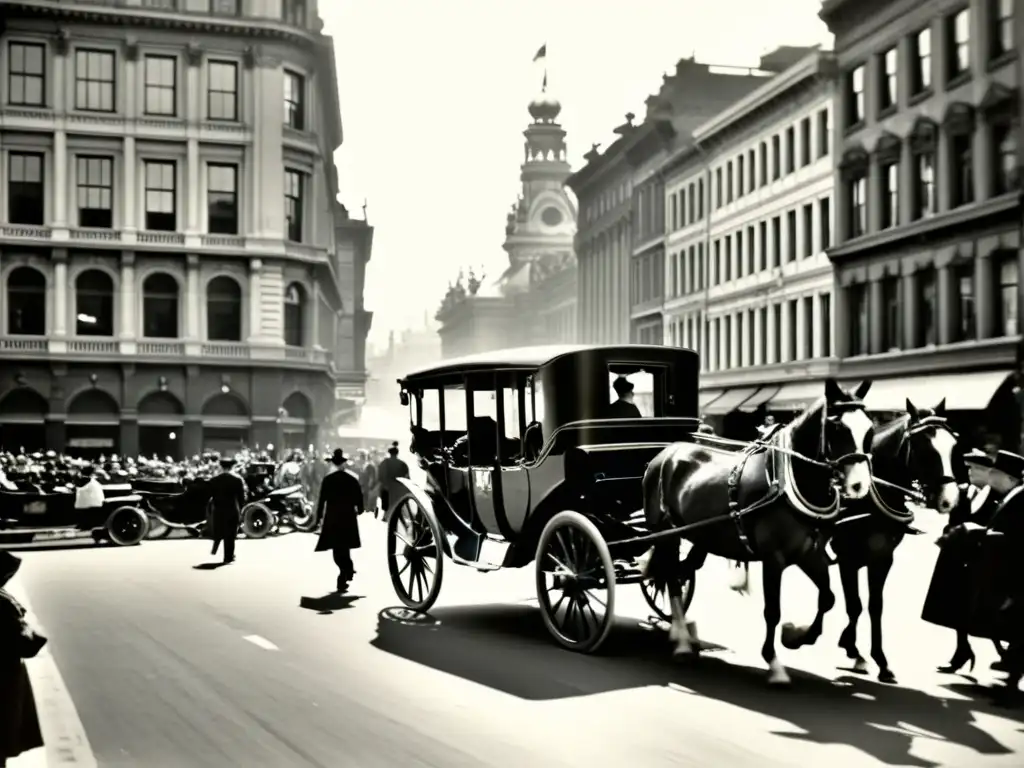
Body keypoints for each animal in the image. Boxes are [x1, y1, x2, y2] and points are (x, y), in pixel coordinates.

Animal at [638, 378, 872, 684]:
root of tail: (665, 453)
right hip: (666, 533)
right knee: (670, 576)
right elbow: (772, 610)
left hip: (699, 536)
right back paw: (682, 642)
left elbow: (828, 598)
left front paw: (797, 636)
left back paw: (682, 633)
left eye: (869, 428)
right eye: (837, 427)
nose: (859, 486)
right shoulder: (774, 558)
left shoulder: (809, 553)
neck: (790, 481)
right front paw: (774, 663)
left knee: (678, 572)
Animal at [831, 399, 958, 684]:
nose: (949, 500)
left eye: (954, 446)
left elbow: (874, 606)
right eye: (924, 448)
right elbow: (854, 605)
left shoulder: (882, 558)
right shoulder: (847, 558)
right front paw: (852, 649)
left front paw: (880, 660)